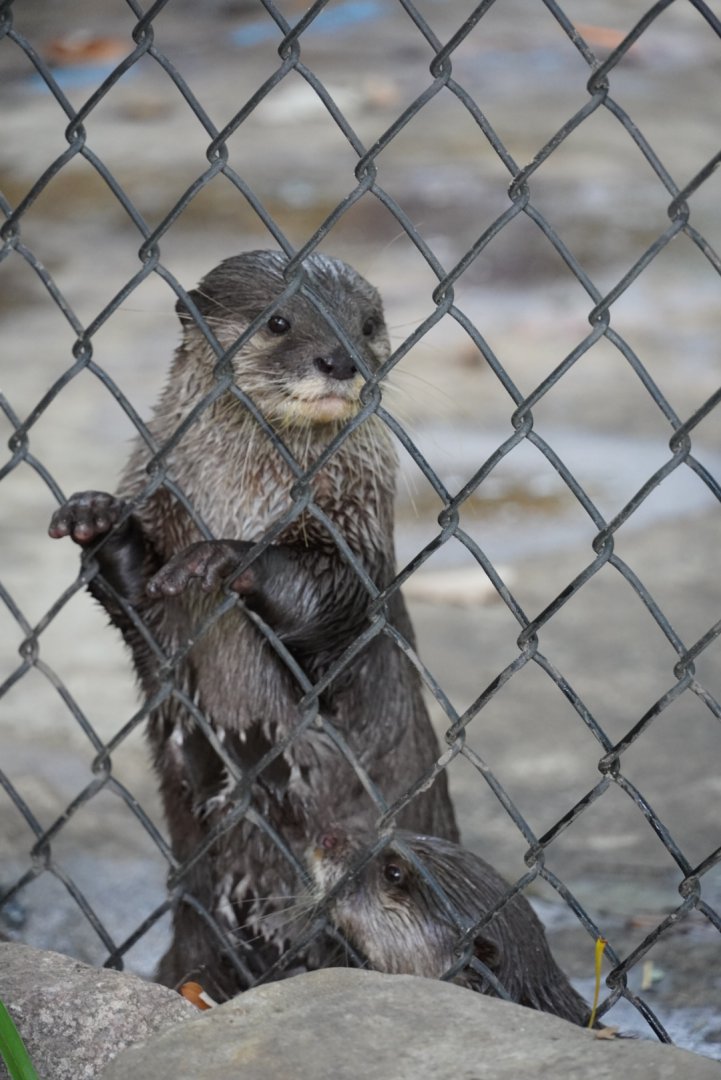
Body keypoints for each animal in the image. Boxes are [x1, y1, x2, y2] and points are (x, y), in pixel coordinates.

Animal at [49, 250, 458, 998]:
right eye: (278, 321)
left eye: (367, 324)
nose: (339, 360)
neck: (240, 496)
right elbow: (136, 600)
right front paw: (98, 520)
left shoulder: (353, 534)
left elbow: (330, 598)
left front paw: (230, 558)